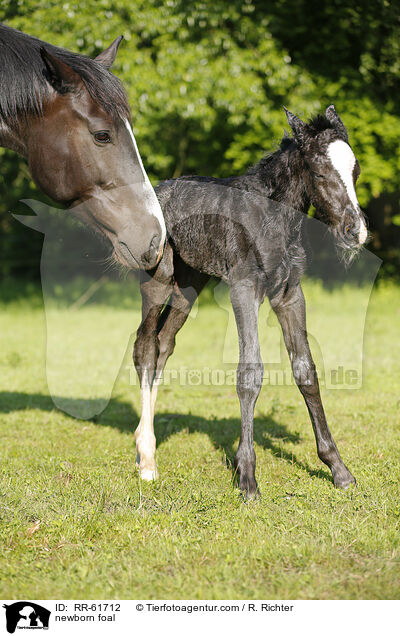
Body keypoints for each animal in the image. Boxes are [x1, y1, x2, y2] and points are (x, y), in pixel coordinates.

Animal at [133, 104, 368, 496]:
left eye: (356, 170)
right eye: (320, 171)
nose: (357, 232)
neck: (273, 219)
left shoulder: (290, 295)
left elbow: (306, 371)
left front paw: (339, 469)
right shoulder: (243, 290)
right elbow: (250, 373)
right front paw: (247, 479)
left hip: (189, 285)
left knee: (165, 342)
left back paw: (142, 443)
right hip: (159, 280)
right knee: (146, 347)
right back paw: (147, 459)